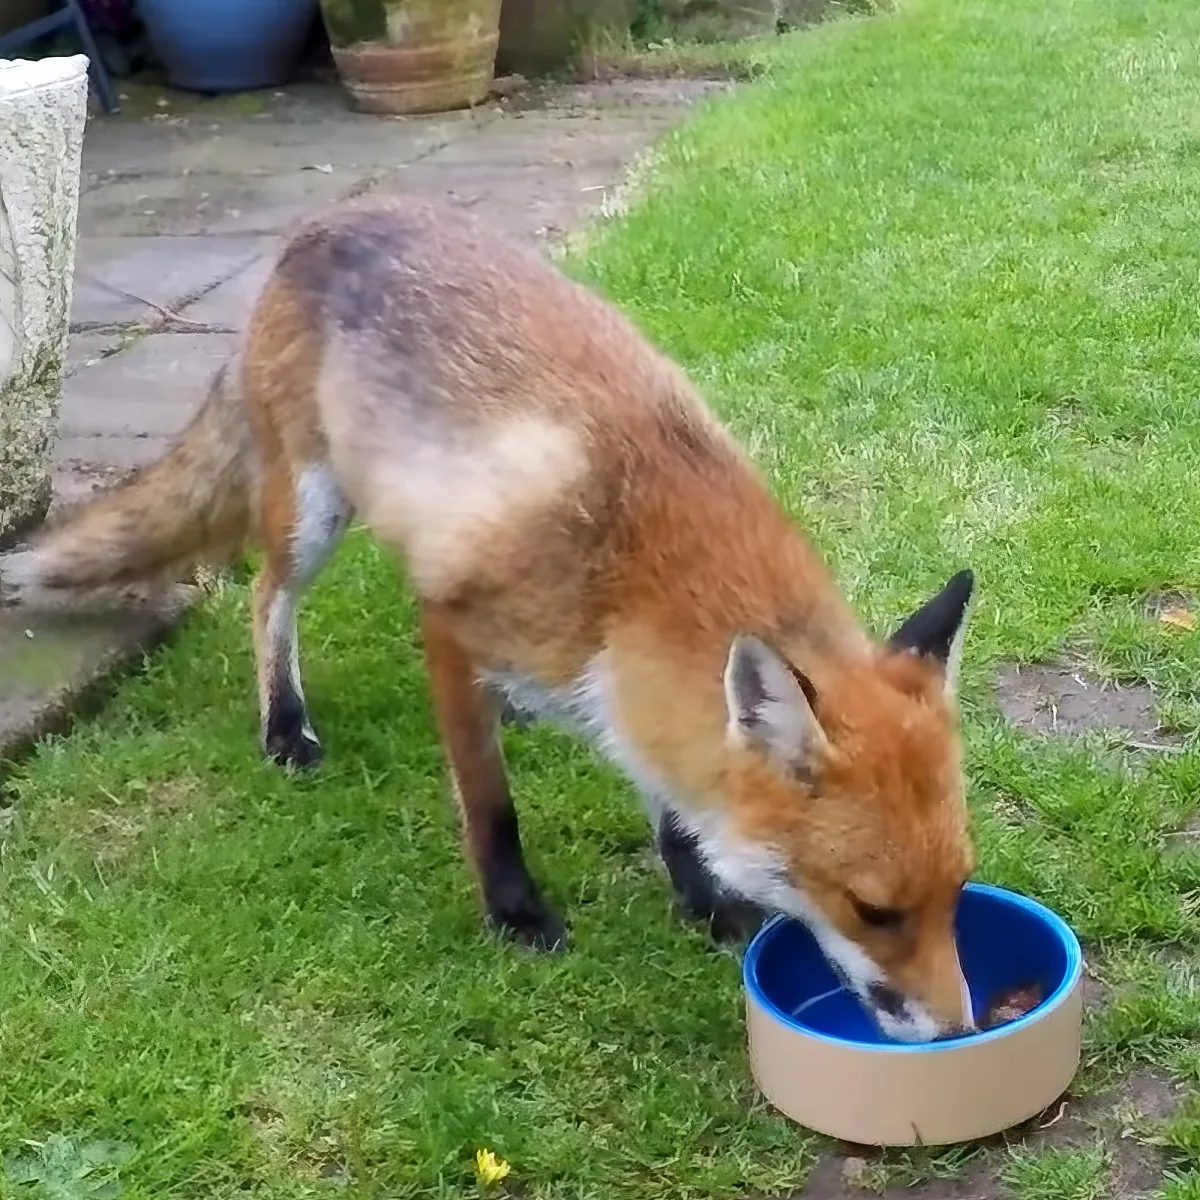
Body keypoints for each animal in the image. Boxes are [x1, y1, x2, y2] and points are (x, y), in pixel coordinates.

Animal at [0, 196, 977, 1041]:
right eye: (874, 910)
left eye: (958, 891)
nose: (963, 1030)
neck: (631, 565)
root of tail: (327, 220)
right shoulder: (450, 626)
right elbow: (490, 804)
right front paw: (517, 914)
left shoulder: (635, 689)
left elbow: (664, 794)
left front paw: (702, 899)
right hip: (312, 511)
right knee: (263, 594)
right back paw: (285, 725)